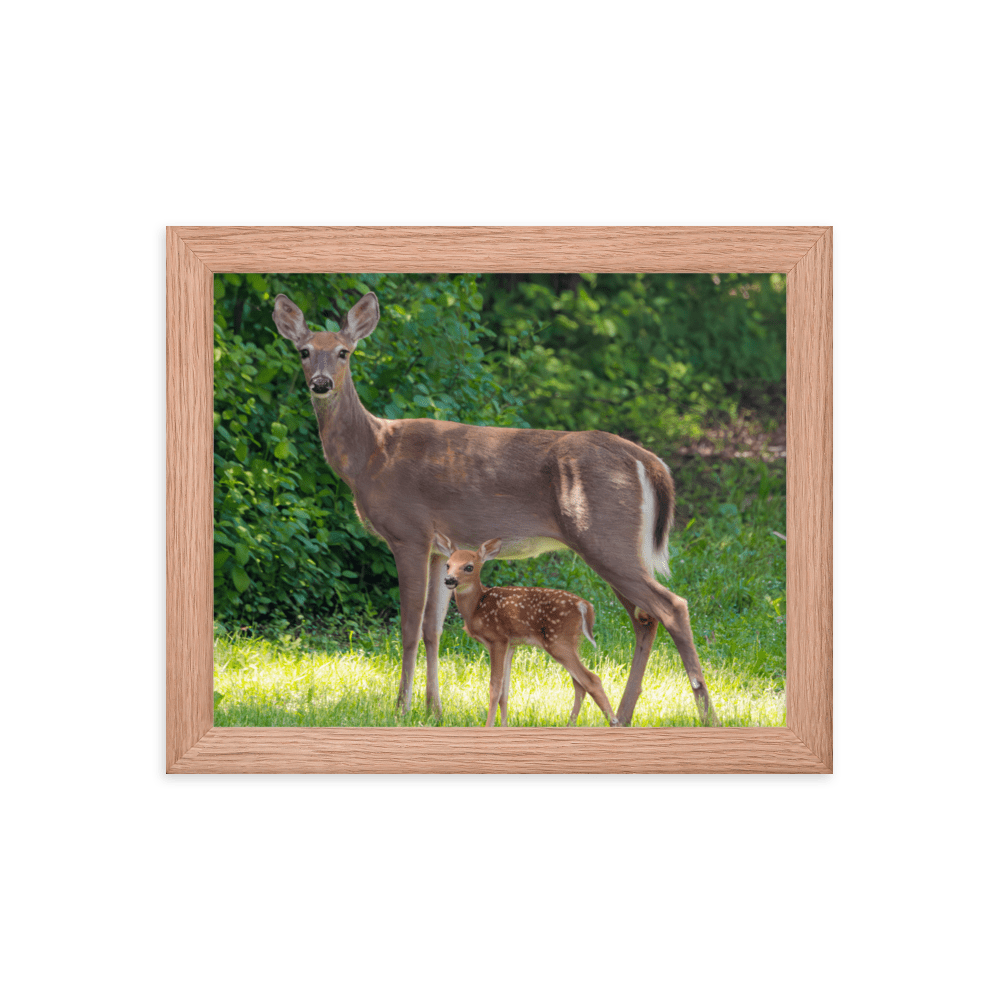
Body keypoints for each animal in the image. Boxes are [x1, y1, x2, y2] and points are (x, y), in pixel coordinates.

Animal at [436, 536, 616, 732]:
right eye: (447, 564)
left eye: (469, 566)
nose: (449, 579)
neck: (476, 607)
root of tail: (585, 606)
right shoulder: (511, 644)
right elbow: (505, 691)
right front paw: (504, 727)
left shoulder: (497, 639)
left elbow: (495, 688)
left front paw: (489, 726)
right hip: (571, 642)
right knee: (580, 684)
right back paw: (571, 725)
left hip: (558, 641)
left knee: (591, 680)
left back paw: (615, 722)